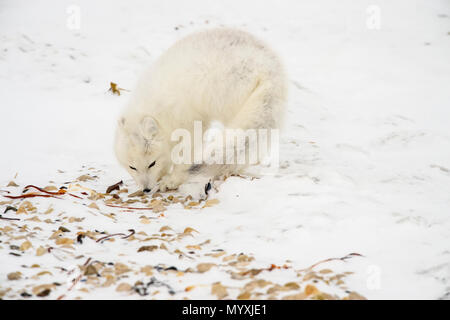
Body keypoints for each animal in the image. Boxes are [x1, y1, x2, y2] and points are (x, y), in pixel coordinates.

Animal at [114, 28, 286, 198]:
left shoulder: (190, 123)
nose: (146, 189)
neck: (159, 110)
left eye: (152, 163)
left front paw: (173, 180)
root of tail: (270, 66)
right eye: (132, 167)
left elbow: (184, 155)